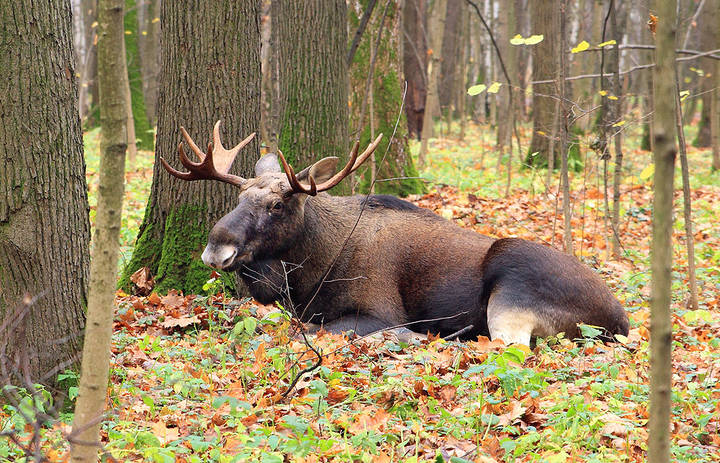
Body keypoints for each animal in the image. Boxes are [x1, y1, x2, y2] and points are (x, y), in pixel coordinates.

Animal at [160, 121, 629, 346]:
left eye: (277, 206)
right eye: (237, 199)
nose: (216, 250)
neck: (311, 271)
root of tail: (621, 321)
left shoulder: (379, 310)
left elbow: (321, 329)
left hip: (511, 289)